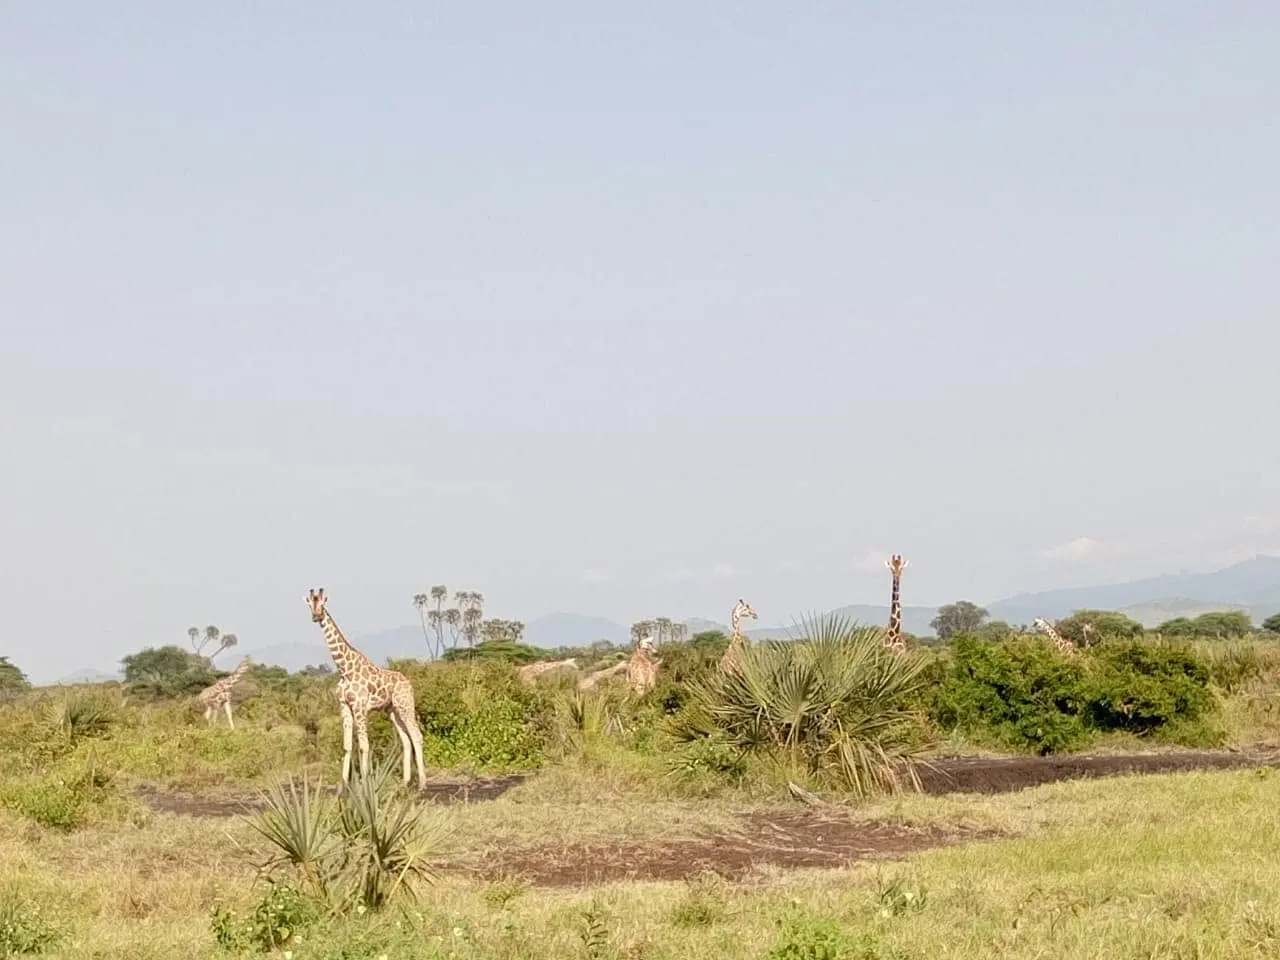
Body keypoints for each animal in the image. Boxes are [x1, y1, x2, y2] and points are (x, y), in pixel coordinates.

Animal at [306, 588, 427, 791]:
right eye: (310, 604)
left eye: (322, 603)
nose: (316, 616)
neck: (344, 669)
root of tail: (408, 683)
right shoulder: (344, 706)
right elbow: (348, 745)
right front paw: (343, 785)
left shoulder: (359, 707)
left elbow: (364, 745)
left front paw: (364, 784)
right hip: (392, 710)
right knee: (406, 739)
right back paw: (405, 782)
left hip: (405, 705)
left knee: (417, 736)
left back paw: (423, 783)